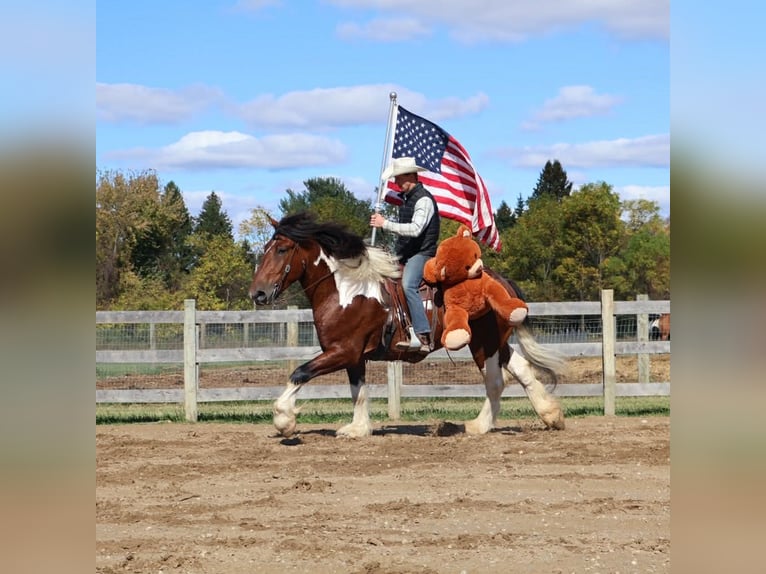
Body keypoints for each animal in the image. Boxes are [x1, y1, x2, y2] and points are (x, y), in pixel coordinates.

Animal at [248, 212, 567, 438]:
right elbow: (358, 391)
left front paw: (284, 420)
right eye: (265, 247)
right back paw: (551, 415)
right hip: (496, 342)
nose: (258, 293)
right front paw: (358, 429)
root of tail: (501, 280)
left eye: (282, 249)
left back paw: (479, 426)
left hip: (483, 343)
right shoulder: (354, 356)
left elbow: (299, 373)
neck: (346, 290)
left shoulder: (342, 351)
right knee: (522, 370)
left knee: (495, 381)